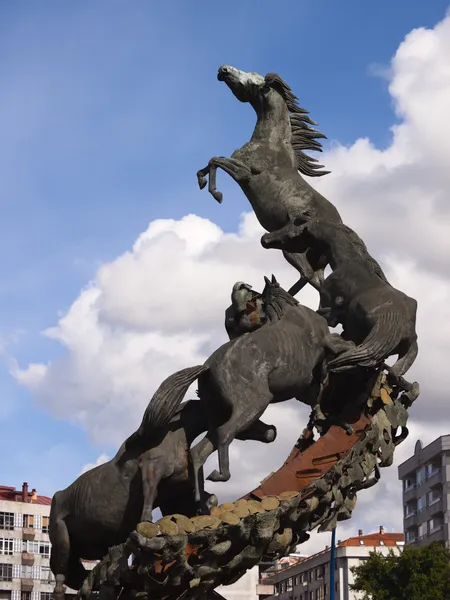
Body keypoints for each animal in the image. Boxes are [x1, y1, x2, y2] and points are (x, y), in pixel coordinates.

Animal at [197, 66, 342, 296]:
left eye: (252, 80)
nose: (223, 69)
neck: (269, 141)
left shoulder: (244, 174)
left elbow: (215, 160)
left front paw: (216, 193)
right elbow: (210, 162)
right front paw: (201, 180)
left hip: (293, 247)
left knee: (308, 275)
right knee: (317, 282)